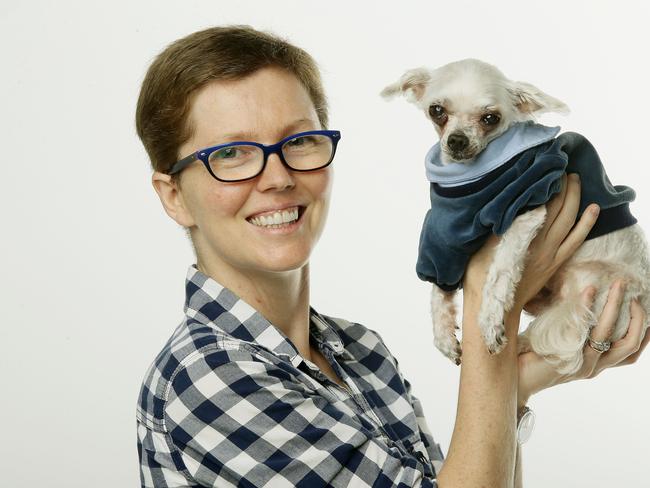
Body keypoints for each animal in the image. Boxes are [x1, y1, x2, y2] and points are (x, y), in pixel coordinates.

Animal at [380, 60, 648, 374]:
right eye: (437, 110)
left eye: (490, 118)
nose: (457, 140)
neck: (469, 176)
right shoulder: (447, 230)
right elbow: (439, 287)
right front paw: (443, 335)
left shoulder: (526, 206)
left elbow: (499, 273)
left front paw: (489, 321)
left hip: (591, 291)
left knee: (562, 342)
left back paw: (519, 346)